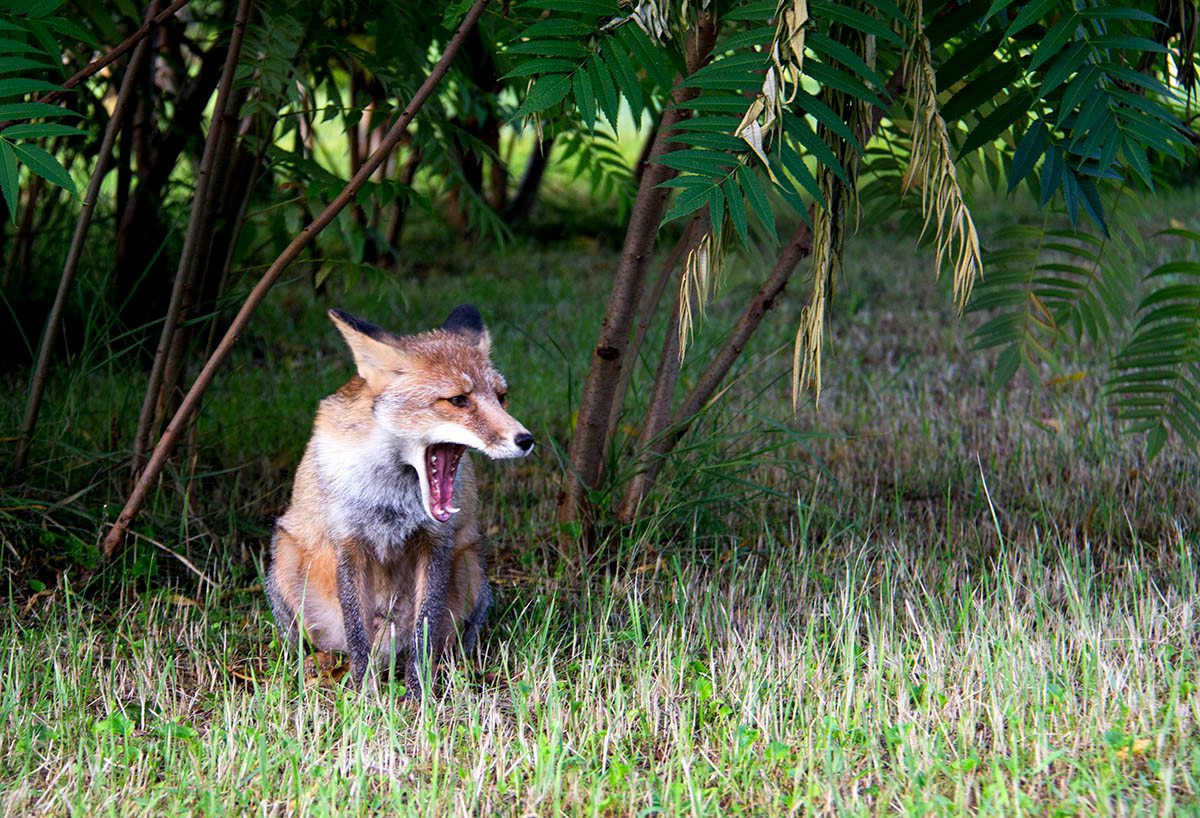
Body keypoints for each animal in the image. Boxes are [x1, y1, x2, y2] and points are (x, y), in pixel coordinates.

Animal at [272, 302, 540, 690]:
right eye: (458, 400)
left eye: (501, 398)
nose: (525, 440)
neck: (392, 499)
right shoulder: (349, 543)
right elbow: (357, 636)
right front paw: (365, 695)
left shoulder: (436, 543)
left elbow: (423, 632)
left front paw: (418, 694)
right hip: (284, 557)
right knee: (321, 645)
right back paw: (319, 664)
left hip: (471, 565)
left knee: (451, 640)